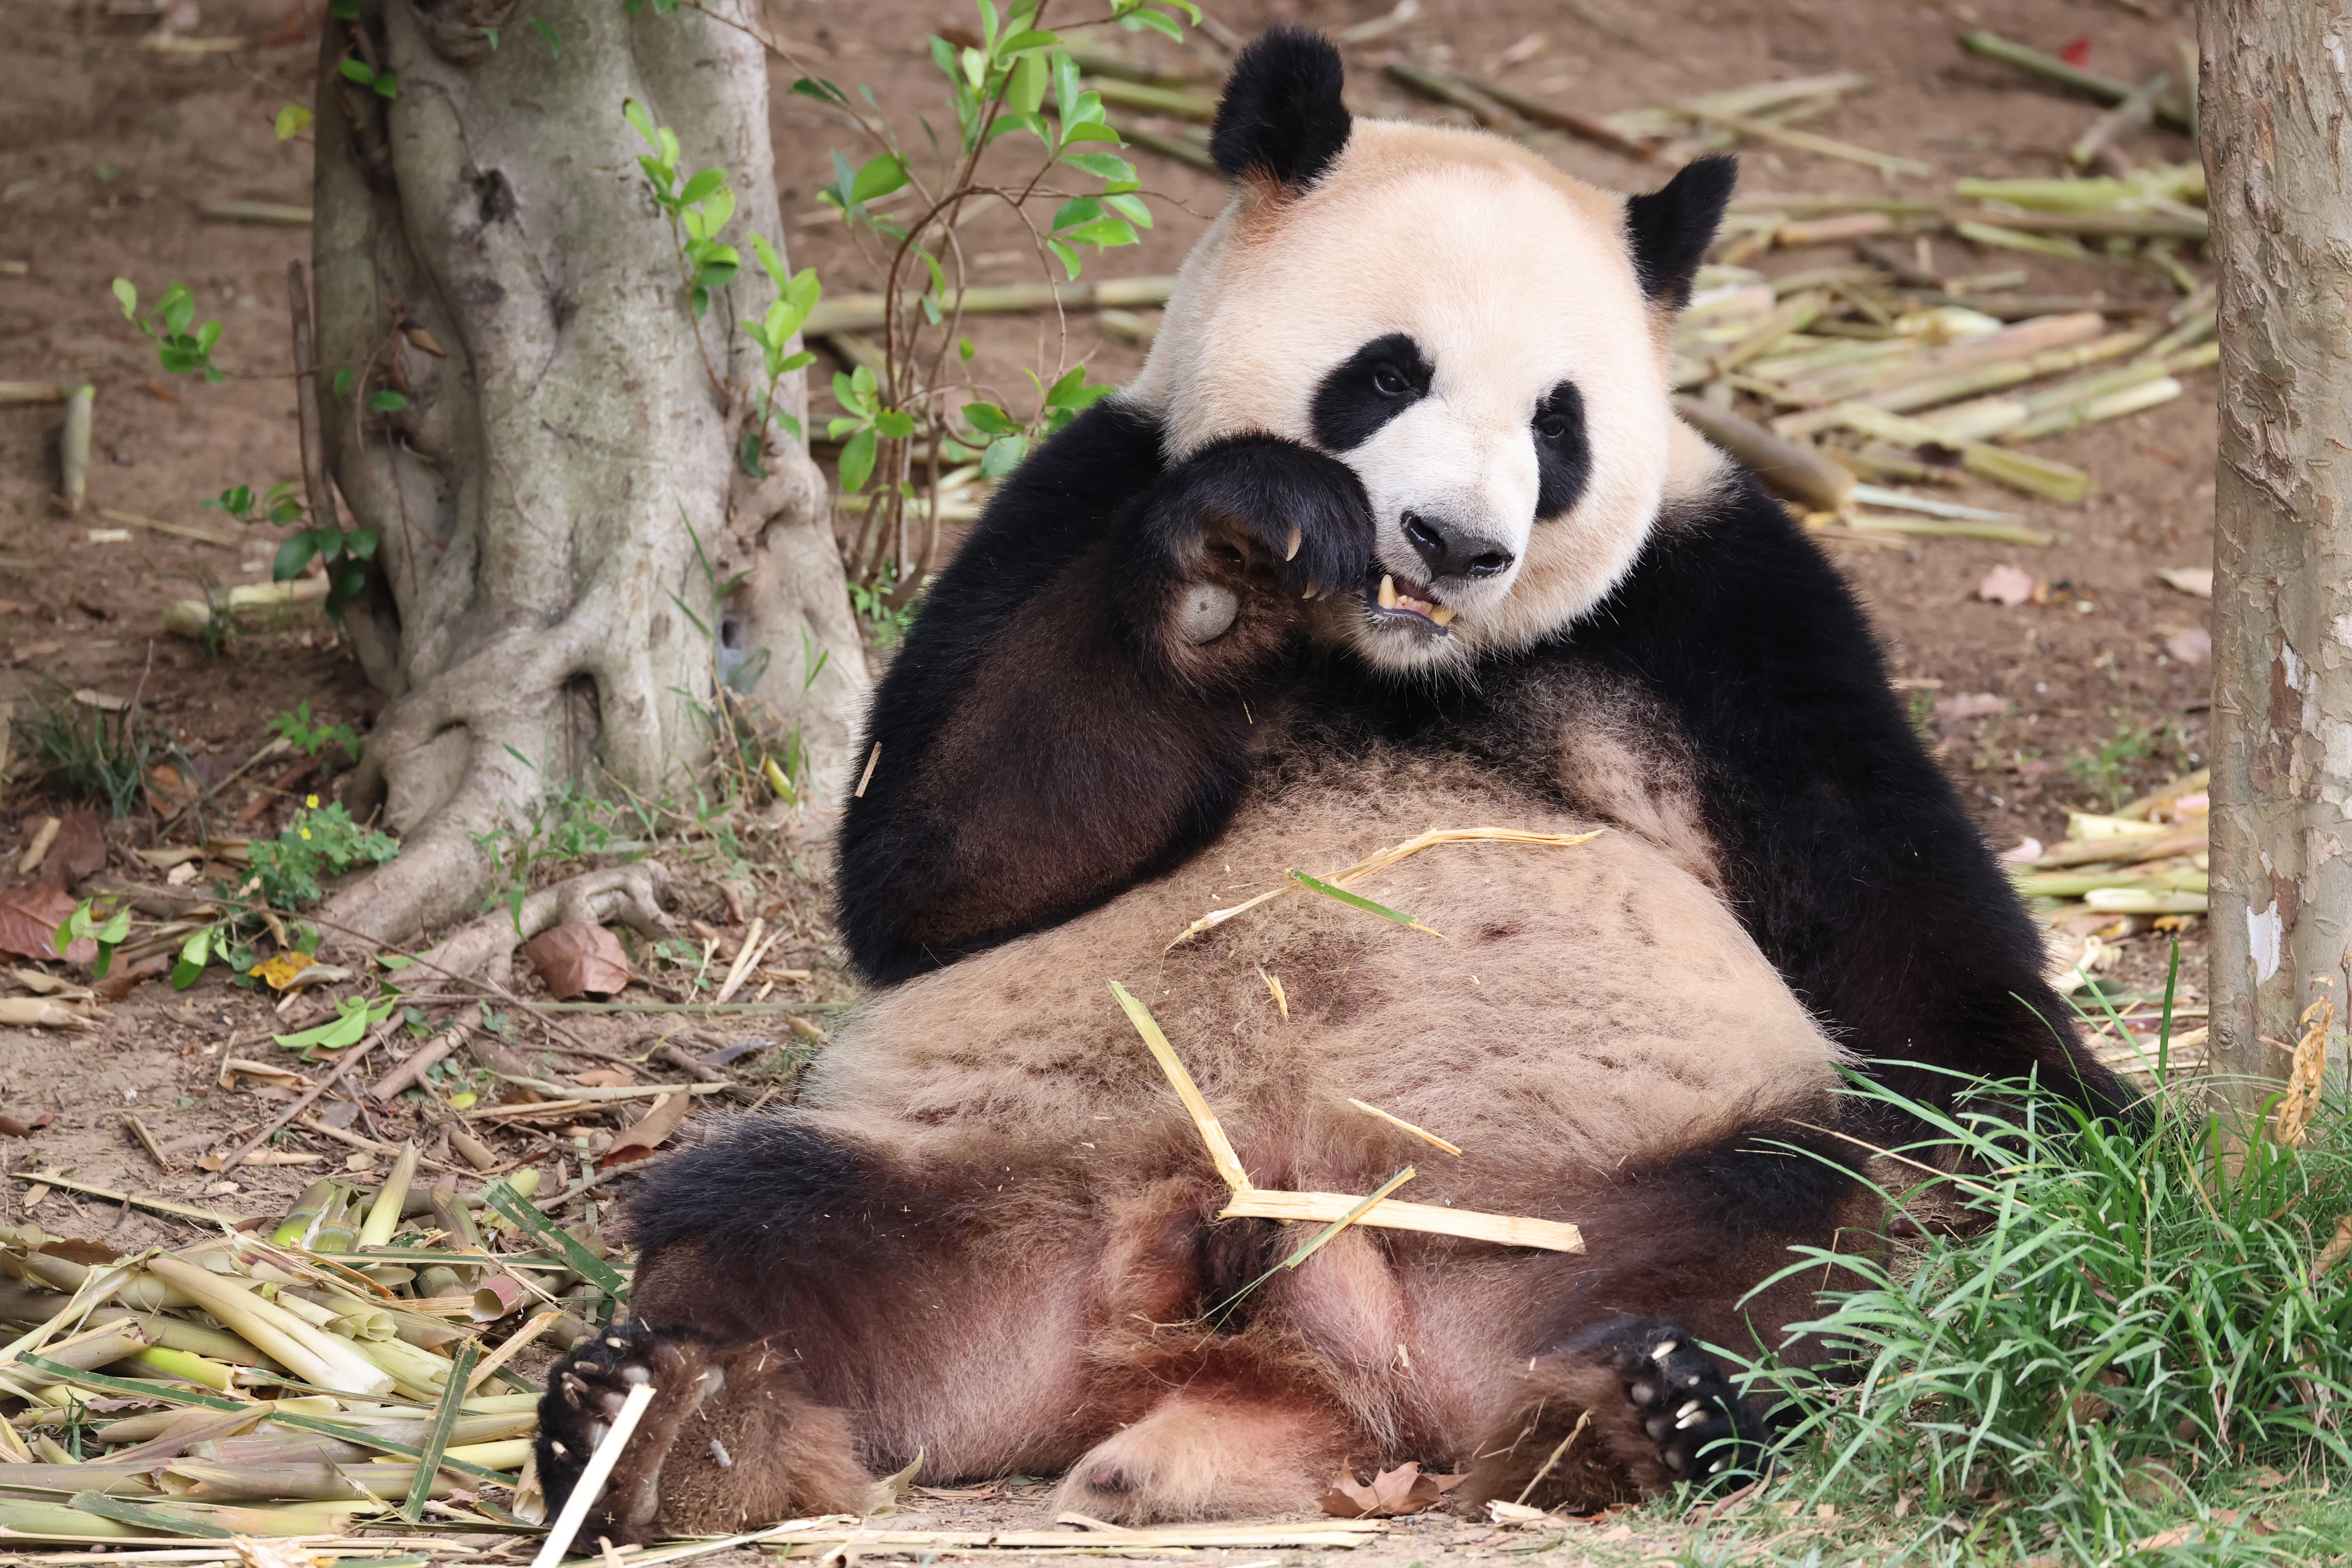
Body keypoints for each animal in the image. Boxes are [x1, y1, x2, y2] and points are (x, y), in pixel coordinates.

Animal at [538, 27, 2127, 1541]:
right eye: (1386, 373)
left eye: (1557, 426)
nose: (1452, 540)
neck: (1393, 657)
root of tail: (1280, 1357)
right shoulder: (1085, 487)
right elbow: (942, 860)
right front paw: (1240, 557)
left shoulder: (1713, 600)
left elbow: (1890, 913)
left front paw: (2092, 1143)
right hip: (995, 1173)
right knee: (762, 1216)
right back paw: (674, 1430)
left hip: (1573, 1199)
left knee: (1805, 1218)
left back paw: (1635, 1407)